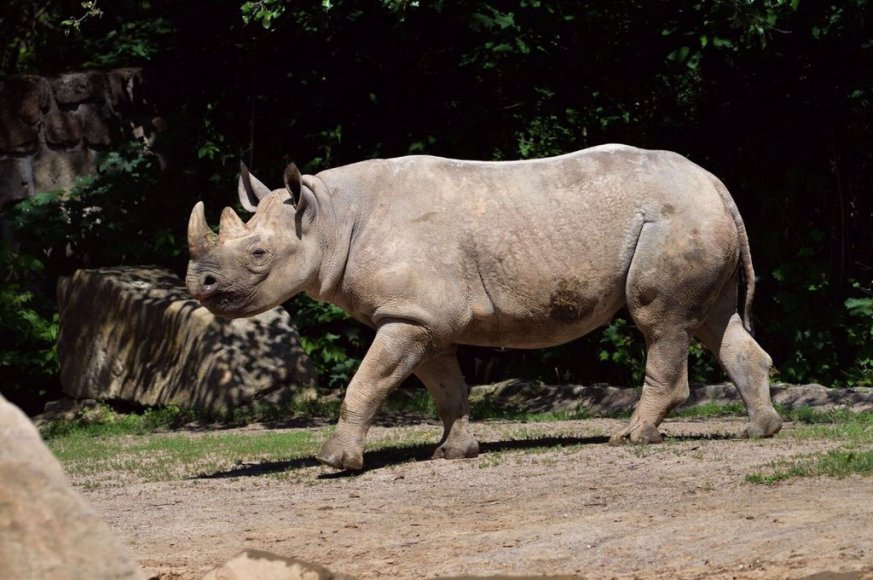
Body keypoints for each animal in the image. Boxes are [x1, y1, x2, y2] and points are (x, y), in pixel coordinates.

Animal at [186, 144, 782, 470]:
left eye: (259, 254)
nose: (199, 284)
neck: (327, 217)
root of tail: (716, 183)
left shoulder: (407, 315)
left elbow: (367, 382)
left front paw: (334, 461)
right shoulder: (422, 316)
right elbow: (445, 385)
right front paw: (455, 452)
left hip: (675, 219)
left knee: (660, 323)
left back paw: (632, 437)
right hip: (694, 218)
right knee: (712, 322)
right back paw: (761, 431)